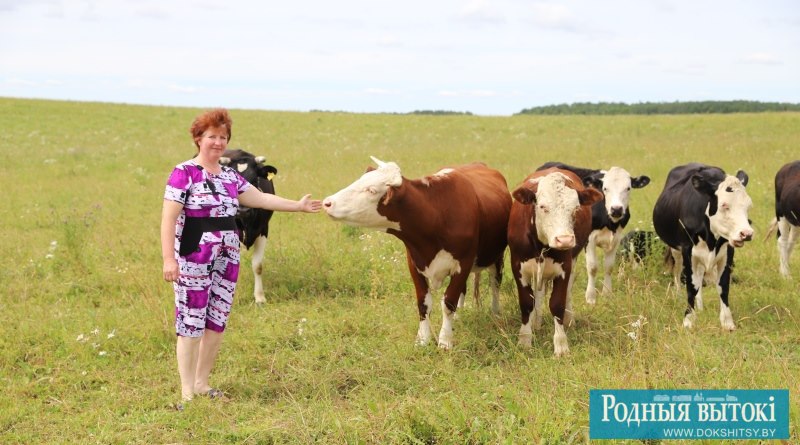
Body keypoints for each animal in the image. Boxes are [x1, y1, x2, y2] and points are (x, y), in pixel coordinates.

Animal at [322, 158, 510, 348]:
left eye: (372, 190)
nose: (327, 202)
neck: (436, 215)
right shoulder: (414, 263)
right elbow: (424, 303)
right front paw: (422, 339)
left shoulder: (463, 264)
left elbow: (448, 301)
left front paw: (445, 341)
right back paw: (459, 315)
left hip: (497, 257)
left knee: (495, 283)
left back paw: (496, 312)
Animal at [510, 166, 604, 354]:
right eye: (542, 207)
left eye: (575, 208)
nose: (565, 240)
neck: (540, 244)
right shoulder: (518, 267)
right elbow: (526, 303)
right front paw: (525, 339)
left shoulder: (564, 268)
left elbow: (557, 304)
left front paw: (561, 345)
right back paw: (536, 322)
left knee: (567, 291)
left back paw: (568, 319)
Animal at [536, 161, 648, 304]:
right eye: (605, 188)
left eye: (628, 188)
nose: (616, 209)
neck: (610, 222)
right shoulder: (590, 239)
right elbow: (593, 267)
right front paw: (590, 298)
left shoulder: (616, 238)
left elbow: (609, 267)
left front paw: (607, 294)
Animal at [652, 163, 752, 330]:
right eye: (724, 205)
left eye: (748, 205)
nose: (747, 233)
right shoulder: (688, 250)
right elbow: (691, 286)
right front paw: (688, 320)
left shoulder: (728, 251)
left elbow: (723, 286)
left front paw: (727, 322)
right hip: (676, 250)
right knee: (678, 273)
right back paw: (679, 296)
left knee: (698, 277)